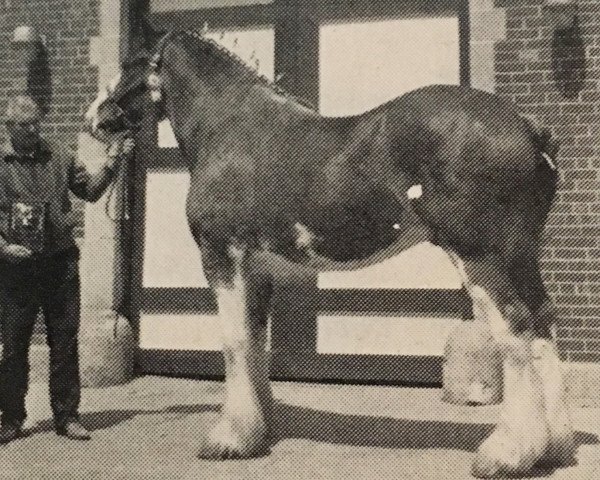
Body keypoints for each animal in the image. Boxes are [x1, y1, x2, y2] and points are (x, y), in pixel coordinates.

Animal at [84, 20, 576, 478]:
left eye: (130, 63)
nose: (95, 119)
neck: (228, 128)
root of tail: (528, 127)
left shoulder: (222, 255)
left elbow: (234, 340)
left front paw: (229, 438)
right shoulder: (259, 270)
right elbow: (255, 340)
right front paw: (259, 428)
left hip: (477, 252)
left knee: (514, 324)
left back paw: (506, 452)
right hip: (520, 253)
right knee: (543, 320)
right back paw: (554, 445)